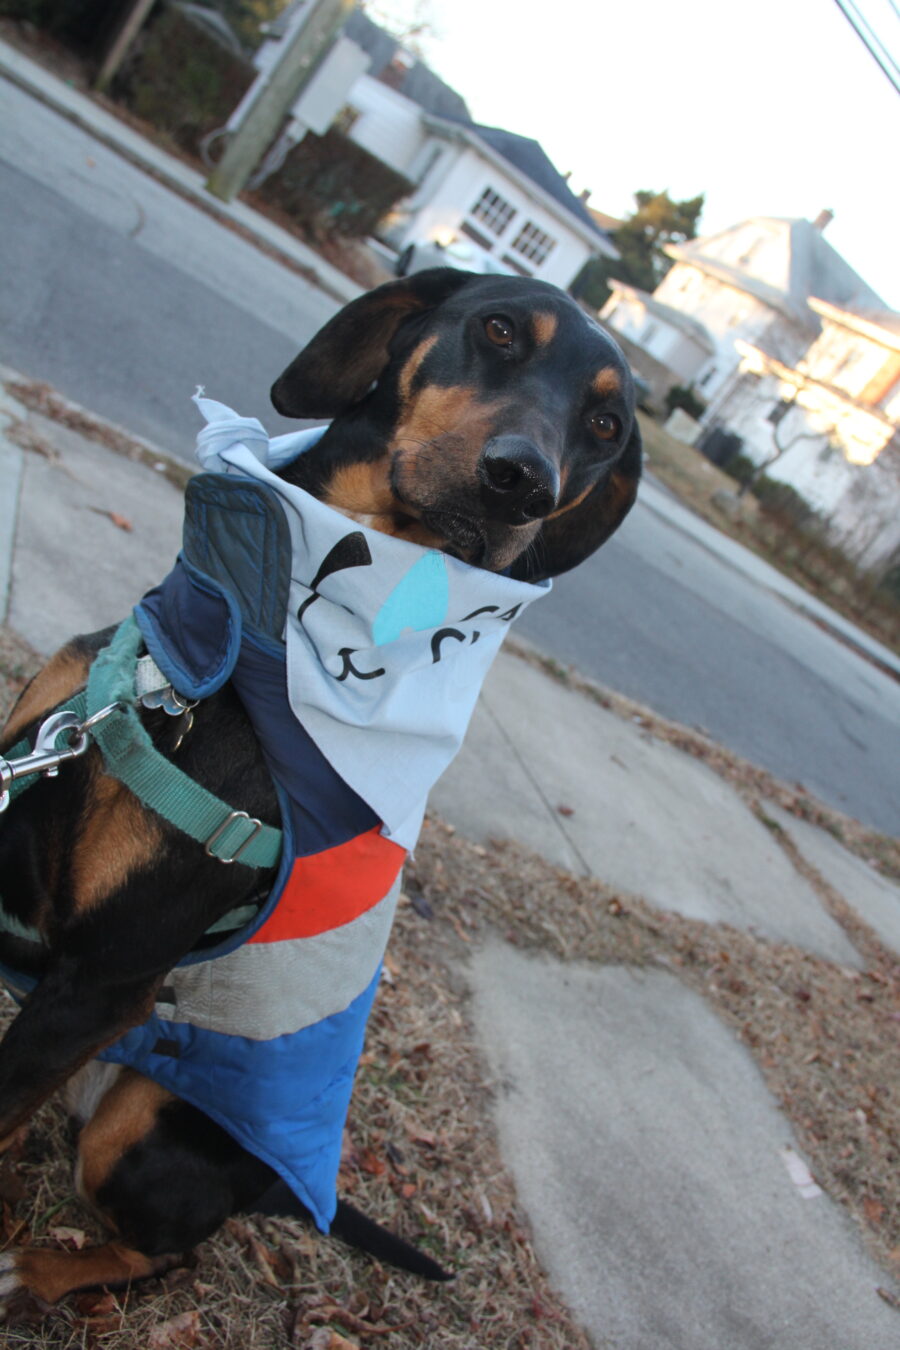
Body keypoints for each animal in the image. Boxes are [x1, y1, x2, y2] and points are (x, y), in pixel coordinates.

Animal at [0, 265, 639, 1306]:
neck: (200, 669)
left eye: (607, 426)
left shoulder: (104, 981)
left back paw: (40, 1270)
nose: (523, 485)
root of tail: (275, 1190)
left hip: (136, 1126)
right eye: (501, 330)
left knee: (162, 1250)